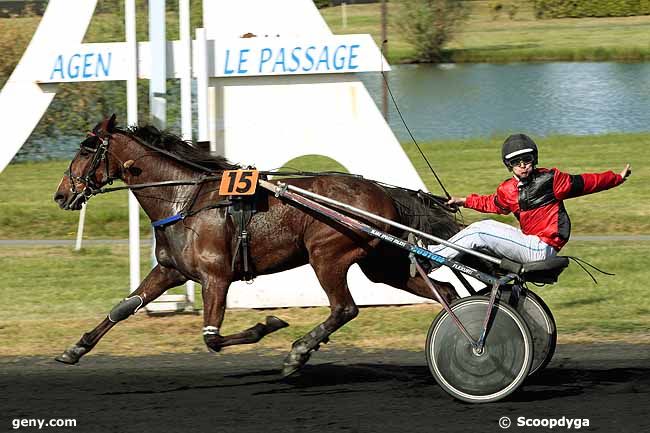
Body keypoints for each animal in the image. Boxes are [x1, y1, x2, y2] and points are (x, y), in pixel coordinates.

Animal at [53, 115, 458, 374]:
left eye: (87, 149)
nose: (61, 194)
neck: (183, 200)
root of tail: (384, 192)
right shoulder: (171, 271)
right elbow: (124, 308)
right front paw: (75, 349)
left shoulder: (216, 277)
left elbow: (213, 339)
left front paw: (269, 324)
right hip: (382, 265)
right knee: (445, 292)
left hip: (327, 255)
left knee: (344, 308)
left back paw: (298, 353)